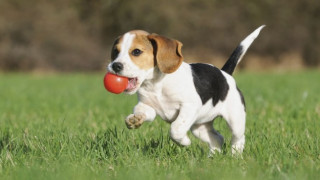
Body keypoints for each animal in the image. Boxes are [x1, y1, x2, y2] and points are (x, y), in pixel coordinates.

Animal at [107, 25, 264, 155]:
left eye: (136, 52)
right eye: (115, 51)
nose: (115, 65)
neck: (156, 84)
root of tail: (225, 73)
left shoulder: (189, 106)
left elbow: (175, 128)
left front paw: (184, 142)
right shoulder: (147, 106)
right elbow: (141, 110)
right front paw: (135, 119)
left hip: (235, 120)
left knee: (238, 138)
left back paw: (235, 156)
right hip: (199, 127)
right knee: (217, 139)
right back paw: (212, 158)